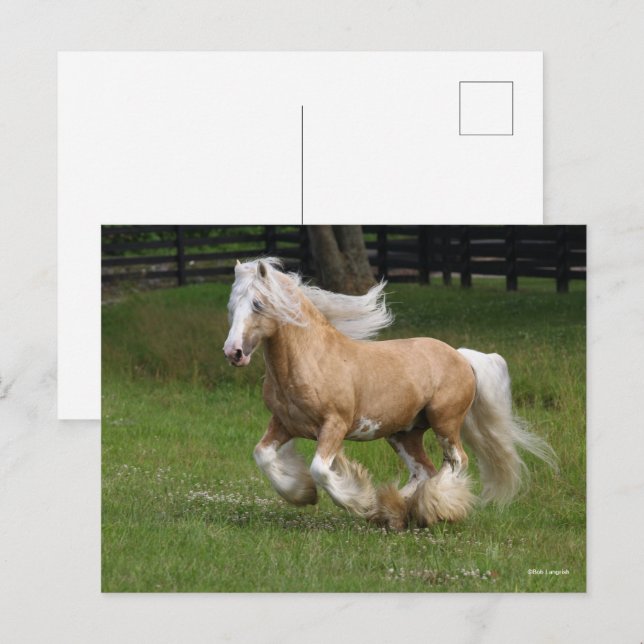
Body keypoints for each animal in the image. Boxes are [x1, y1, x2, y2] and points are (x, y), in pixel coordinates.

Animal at [223, 257, 556, 530]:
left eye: (257, 304)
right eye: (231, 306)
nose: (233, 352)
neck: (311, 360)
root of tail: (461, 356)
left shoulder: (334, 425)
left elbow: (320, 469)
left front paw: (355, 501)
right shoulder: (283, 423)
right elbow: (263, 455)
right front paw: (302, 494)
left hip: (445, 422)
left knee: (456, 461)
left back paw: (431, 509)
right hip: (403, 433)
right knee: (424, 471)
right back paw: (395, 511)